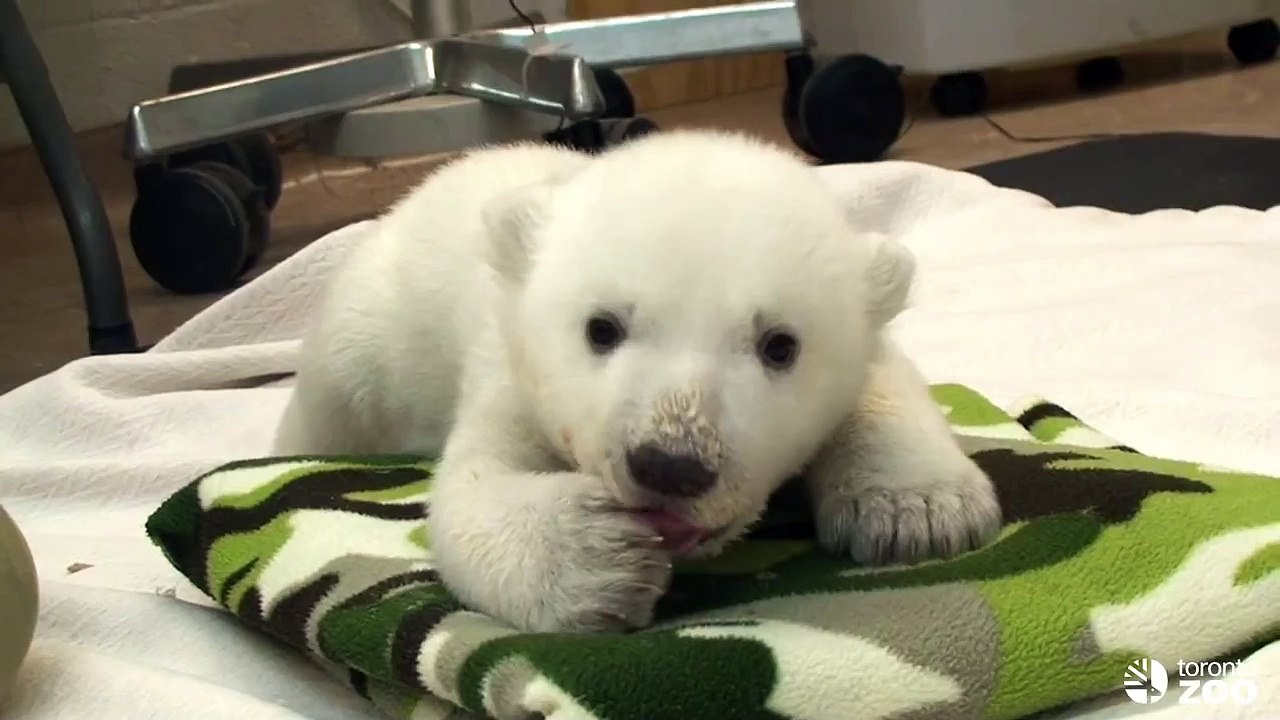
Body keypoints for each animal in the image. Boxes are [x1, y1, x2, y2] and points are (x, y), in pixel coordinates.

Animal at [273, 129, 1001, 633]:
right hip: (369, 335)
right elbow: (472, 490)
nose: (672, 465)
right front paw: (600, 558)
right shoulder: (511, 372)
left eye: (780, 344)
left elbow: (884, 385)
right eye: (601, 328)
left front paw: (918, 511)